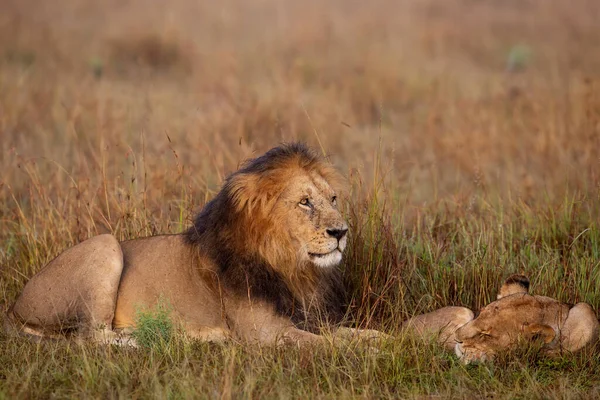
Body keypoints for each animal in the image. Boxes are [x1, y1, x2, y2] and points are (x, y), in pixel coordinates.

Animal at [4, 145, 380, 346]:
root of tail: (13, 307)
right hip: (105, 244)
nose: (341, 232)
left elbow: (356, 334)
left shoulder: (310, 319)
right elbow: (329, 347)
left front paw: (386, 341)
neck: (292, 269)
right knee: (90, 337)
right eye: (305, 202)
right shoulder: (267, 334)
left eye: (333, 199)